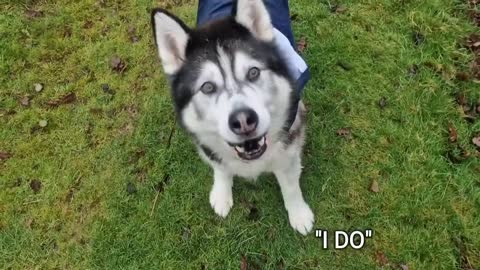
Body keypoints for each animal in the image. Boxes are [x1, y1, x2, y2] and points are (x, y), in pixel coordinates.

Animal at [151, 0, 316, 234]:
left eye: (253, 72)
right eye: (207, 87)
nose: (243, 120)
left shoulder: (289, 148)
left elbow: (291, 187)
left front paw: (298, 213)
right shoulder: (207, 145)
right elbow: (221, 168)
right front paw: (222, 193)